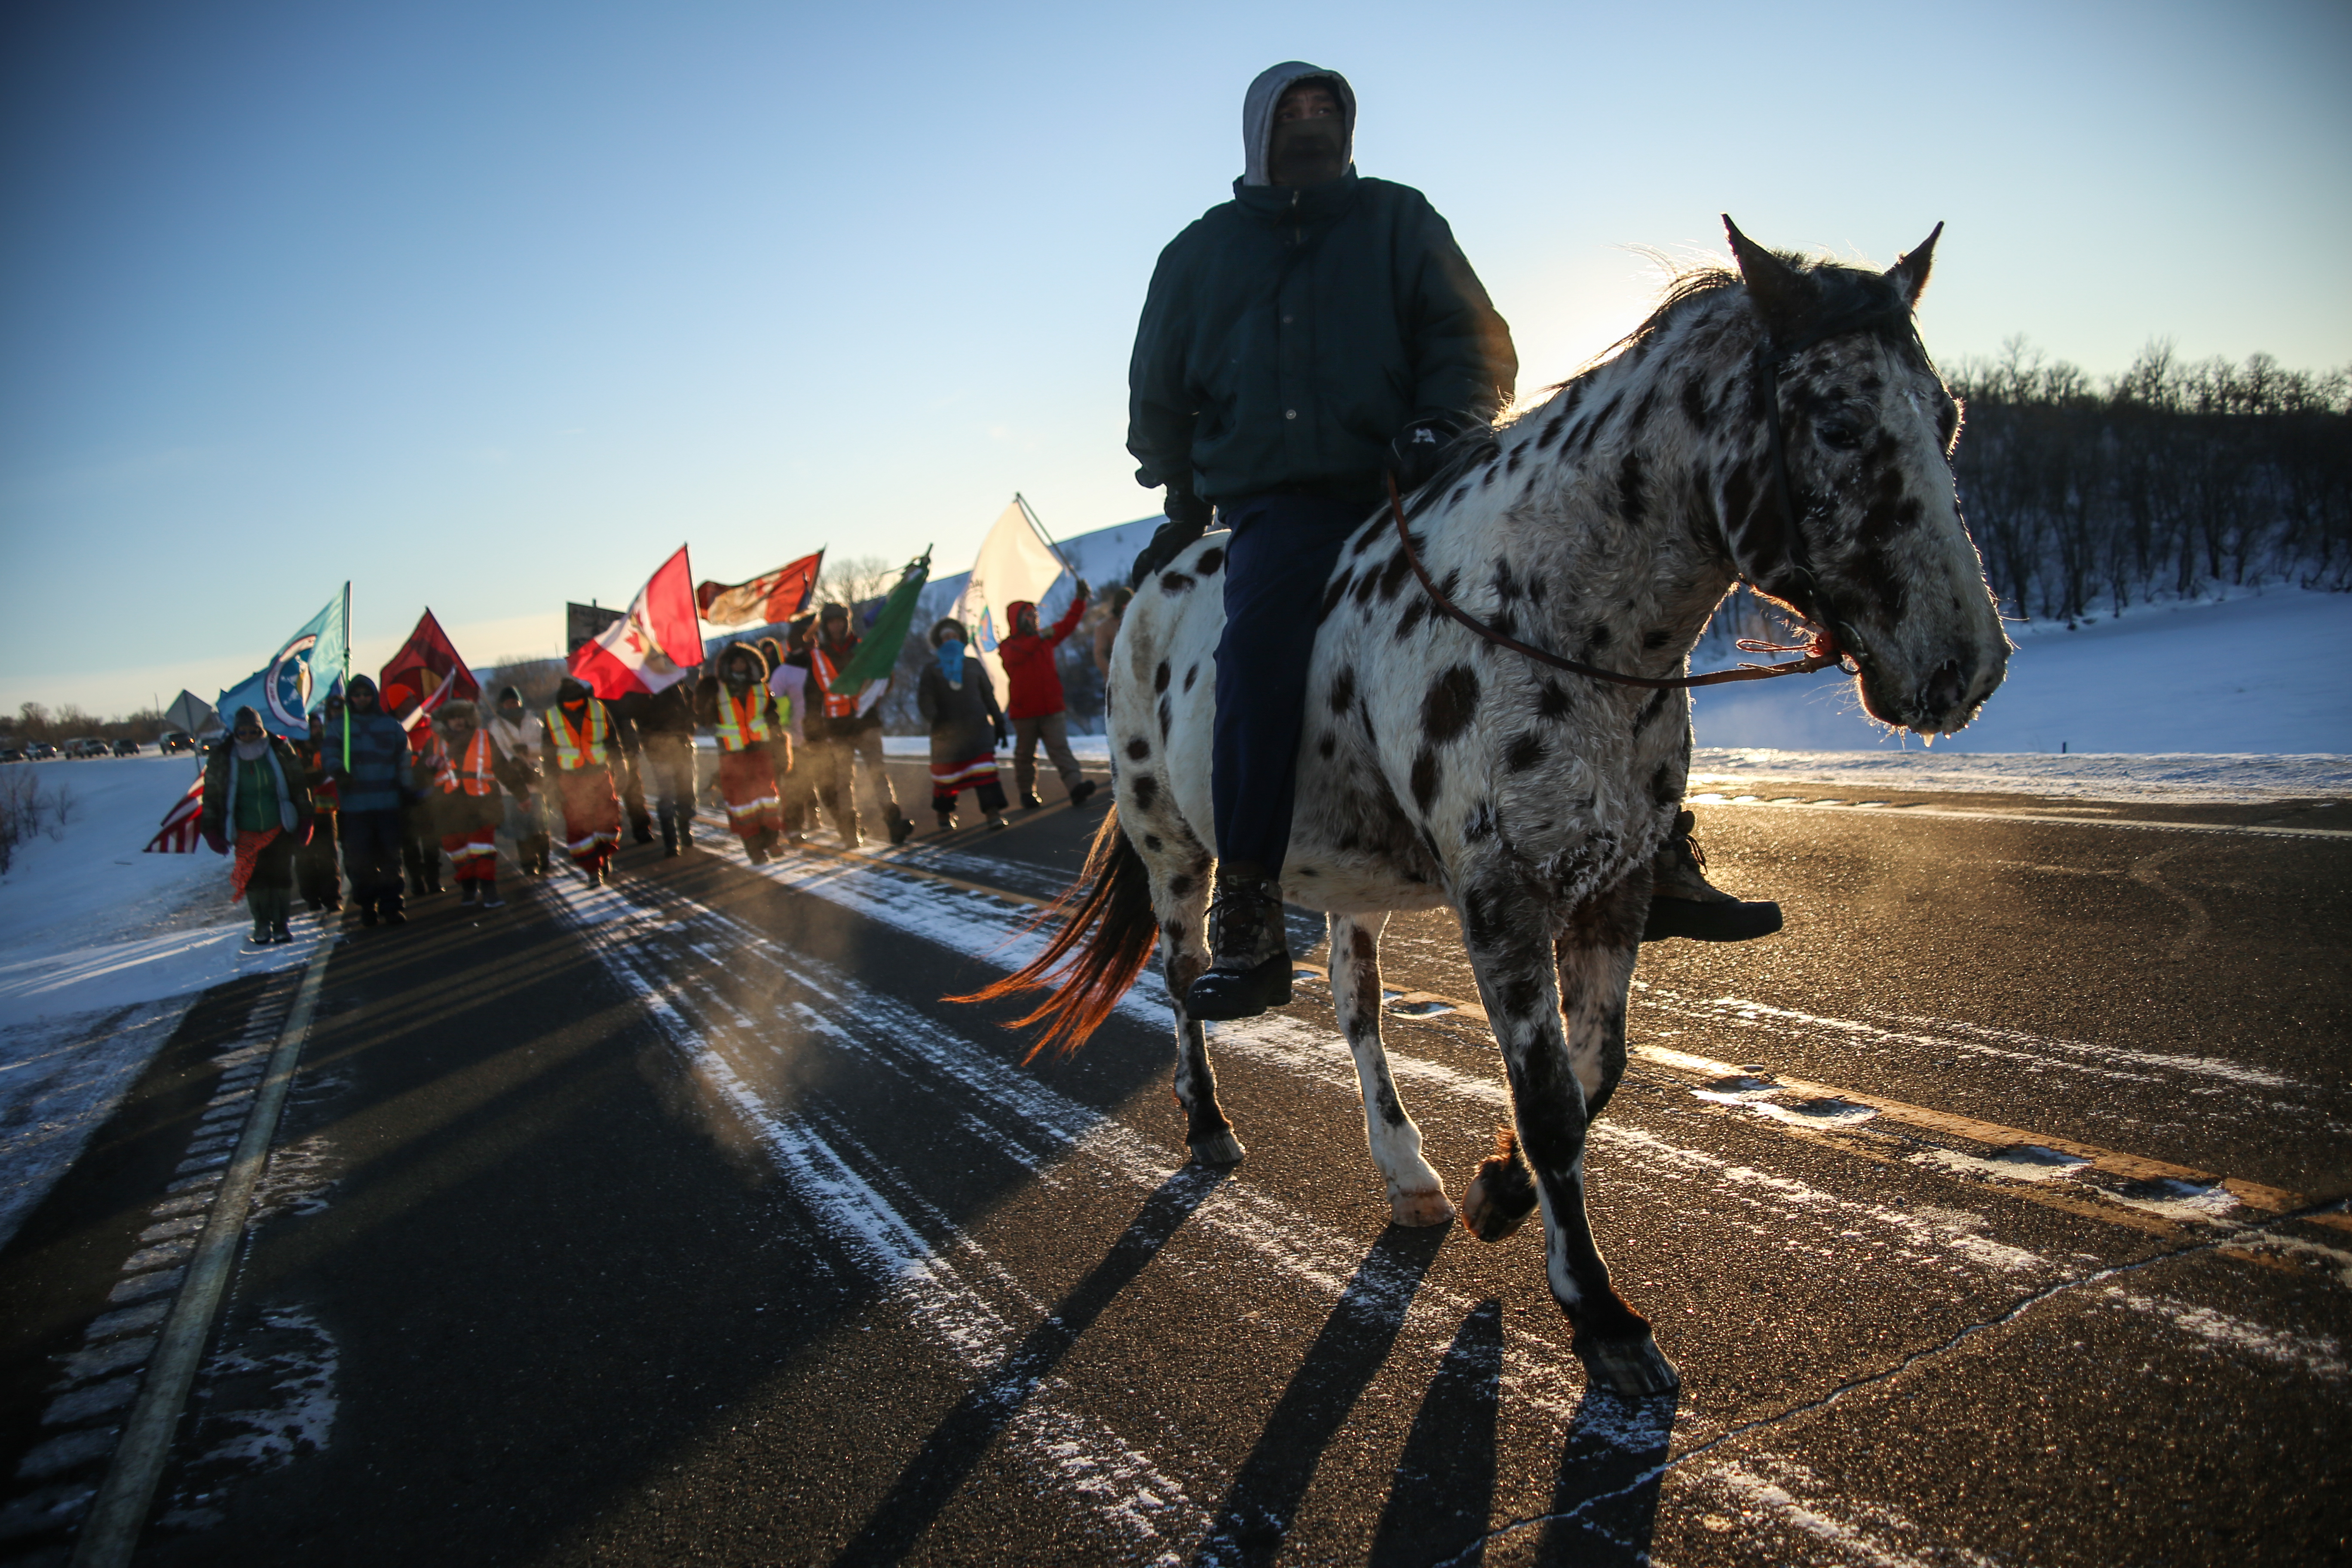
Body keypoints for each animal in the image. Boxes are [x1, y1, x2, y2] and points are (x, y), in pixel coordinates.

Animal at [964, 223, 2013, 1401]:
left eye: (1945, 418)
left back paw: (1405, 1169)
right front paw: (1598, 1310)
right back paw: (1209, 1123)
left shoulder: (1612, 886)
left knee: (1356, 1011)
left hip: (1353, 881)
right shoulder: (1500, 898)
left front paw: (1496, 1194)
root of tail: (1150, 580)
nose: (1964, 666)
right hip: (1172, 845)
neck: (1553, 611)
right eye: (1836, 424)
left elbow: (1595, 1071)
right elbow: (1548, 1096)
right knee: (1184, 980)